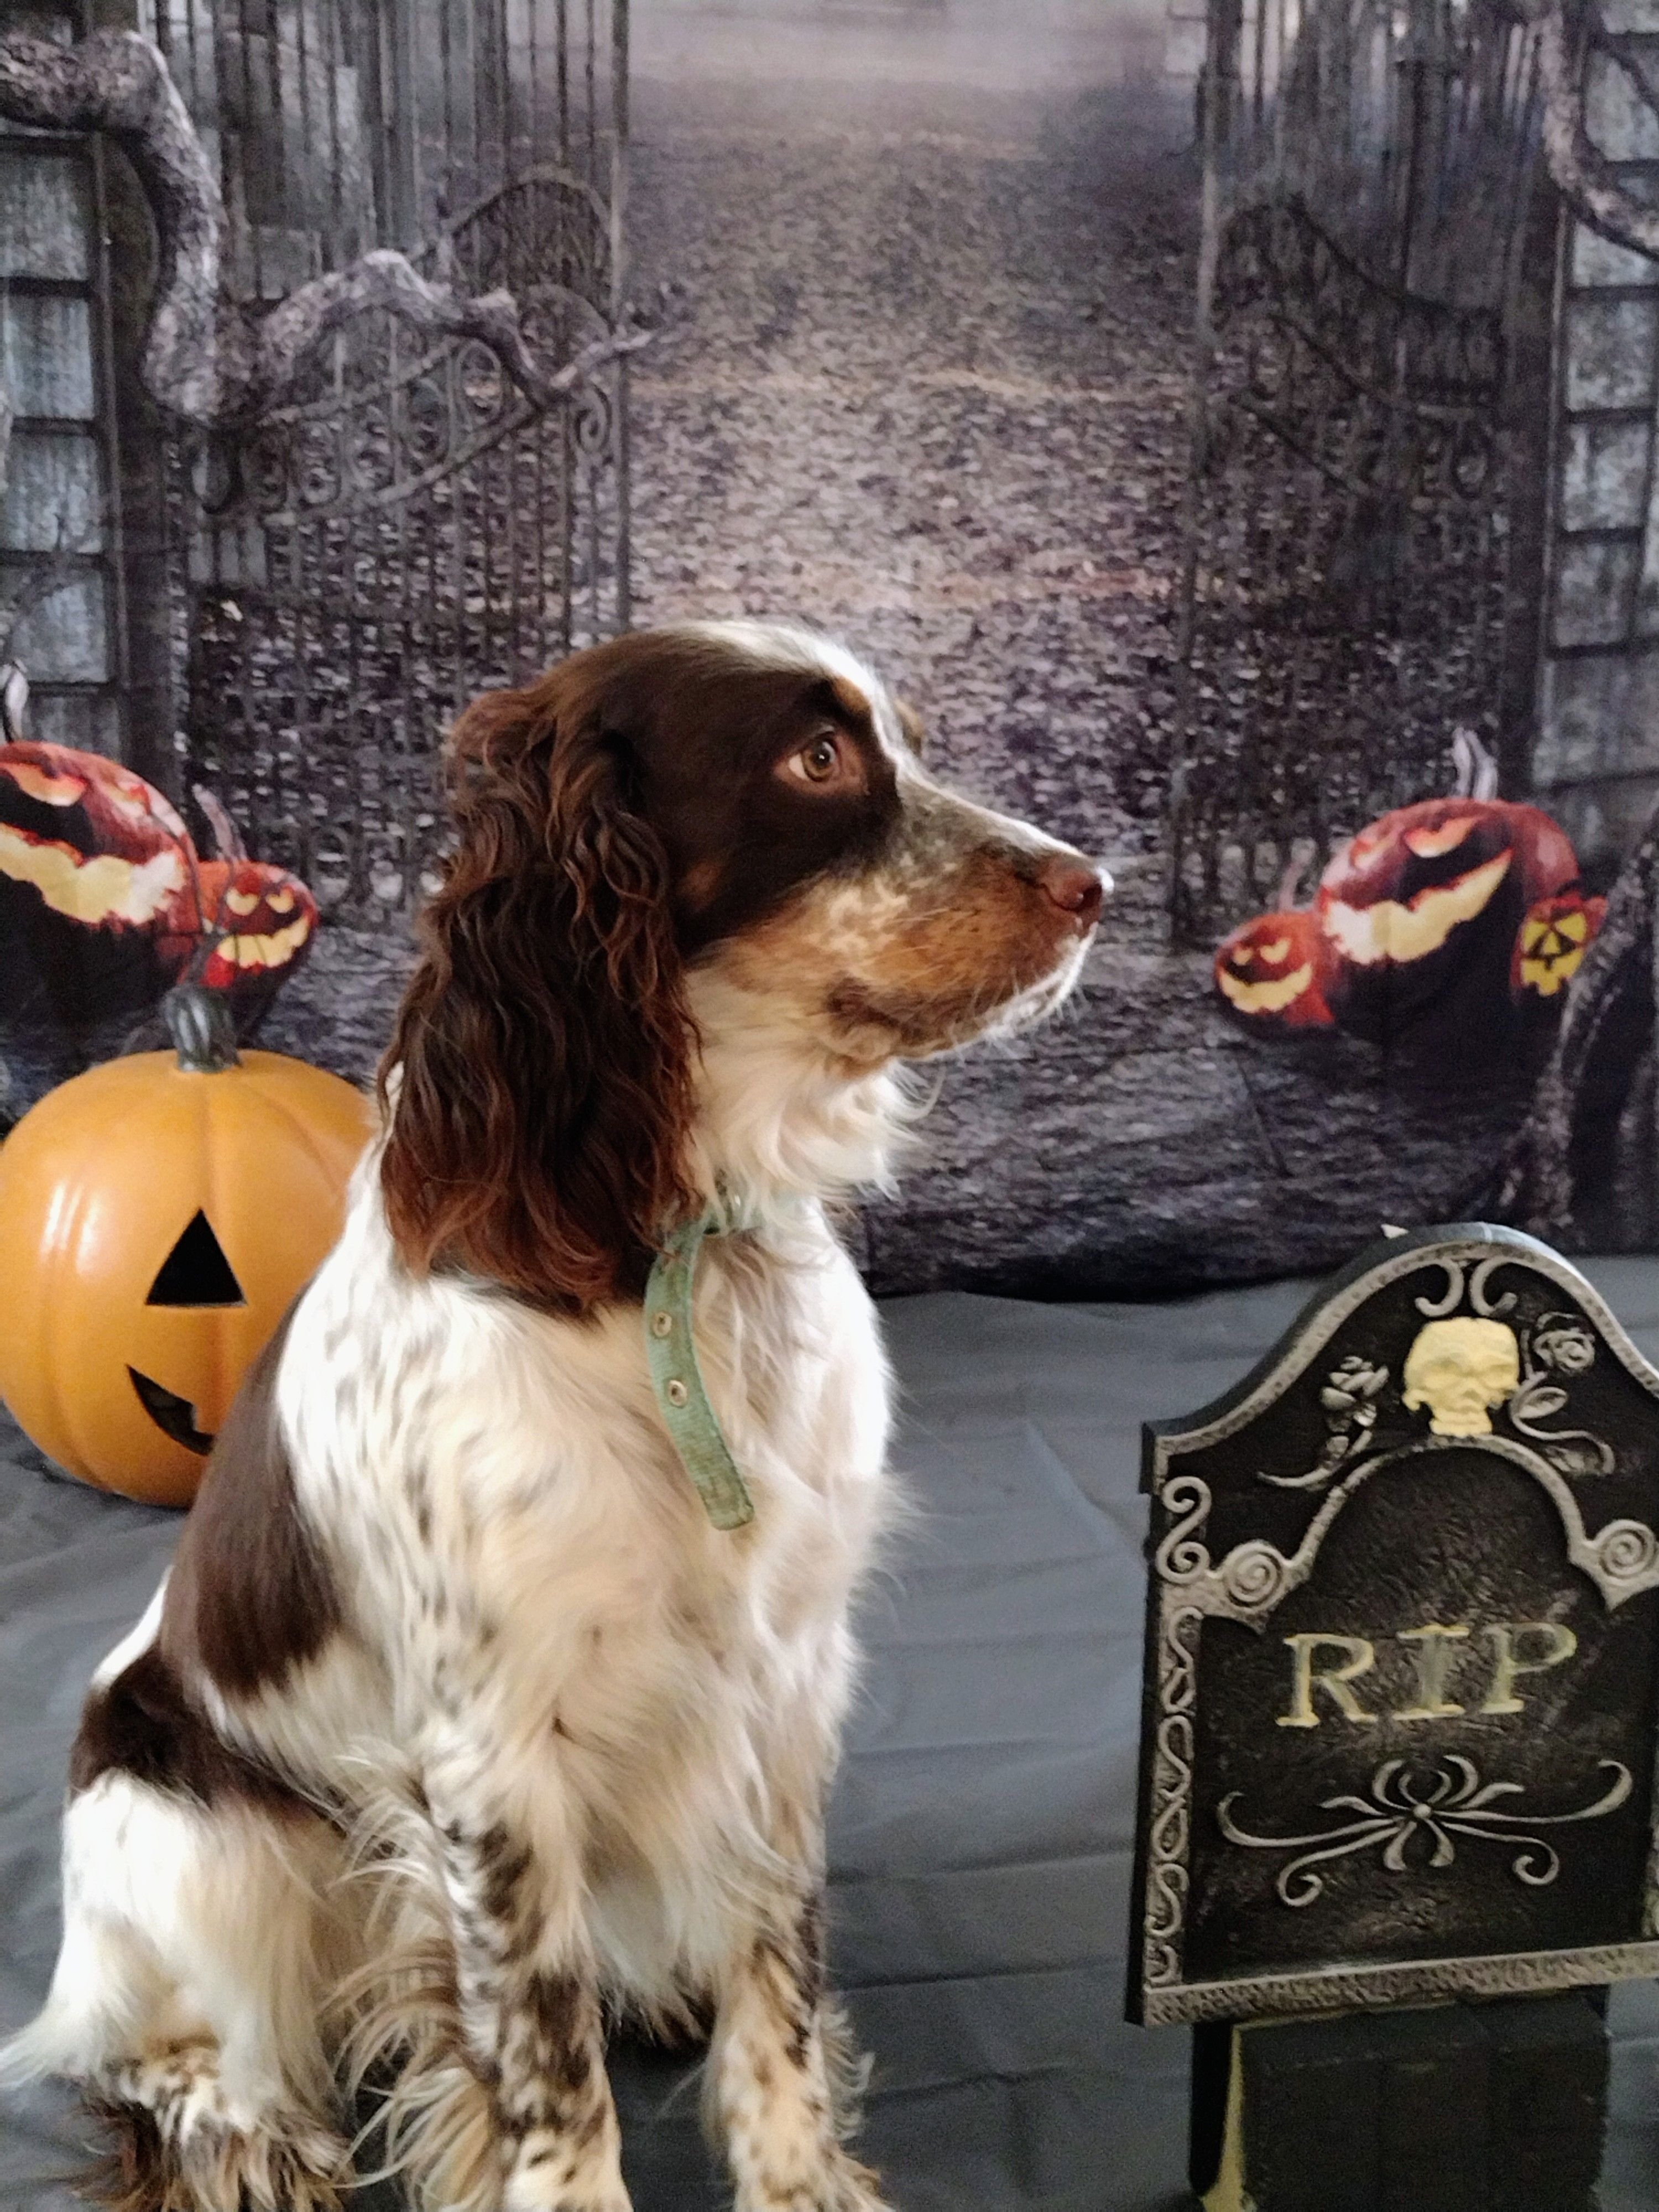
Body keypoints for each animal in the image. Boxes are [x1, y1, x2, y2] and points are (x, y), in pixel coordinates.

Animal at [3, 621, 1107, 2212]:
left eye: (902, 738)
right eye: (816, 758)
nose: (1097, 885)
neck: (674, 1249)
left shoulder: (787, 1680)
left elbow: (776, 1972)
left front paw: (795, 2171)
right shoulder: (493, 1751)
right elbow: (543, 2057)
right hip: (190, 1839)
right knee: (154, 2054)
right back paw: (255, 2142)